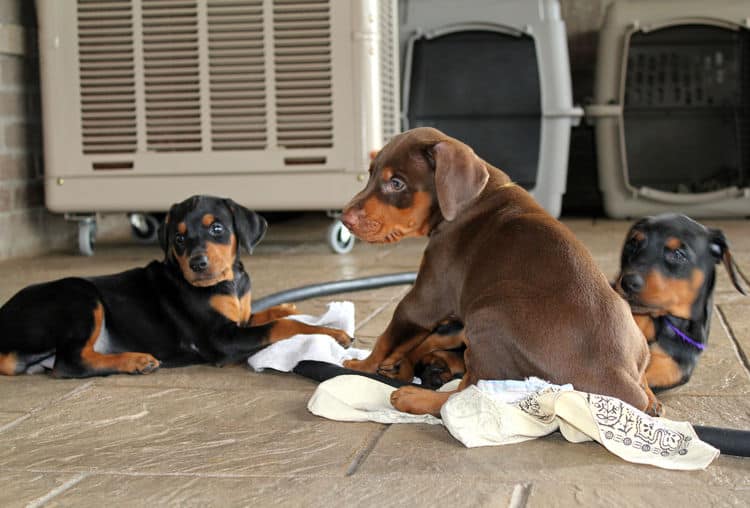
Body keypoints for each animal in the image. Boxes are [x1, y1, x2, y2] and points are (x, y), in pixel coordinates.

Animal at [0, 194, 352, 378]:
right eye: (179, 238)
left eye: (217, 229)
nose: (197, 264)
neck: (228, 283)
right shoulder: (220, 339)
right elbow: (282, 326)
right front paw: (334, 334)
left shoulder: (237, 319)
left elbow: (262, 313)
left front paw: (287, 305)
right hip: (80, 297)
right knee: (70, 362)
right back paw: (136, 361)